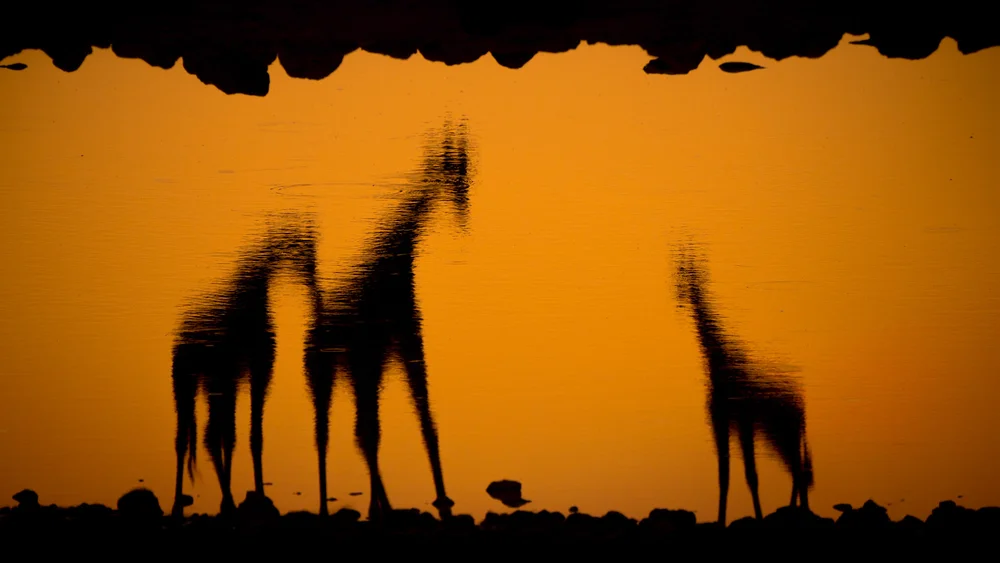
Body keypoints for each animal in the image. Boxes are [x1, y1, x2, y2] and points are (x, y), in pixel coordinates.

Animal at [170, 212, 321, 518]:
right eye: (307, 255)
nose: (315, 291)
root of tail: (184, 340)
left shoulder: (244, 376)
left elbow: (242, 435)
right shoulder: (249, 373)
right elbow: (242, 435)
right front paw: (249, 497)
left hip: (200, 384)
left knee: (200, 436)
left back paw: (201, 500)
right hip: (195, 382)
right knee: (196, 436)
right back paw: (199, 502)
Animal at [304, 119, 472, 520]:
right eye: (458, 172)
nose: (464, 208)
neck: (398, 253)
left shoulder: (382, 356)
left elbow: (381, 430)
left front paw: (383, 504)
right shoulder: (405, 339)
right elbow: (418, 423)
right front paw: (439, 500)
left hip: (338, 372)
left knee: (342, 432)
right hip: (334, 371)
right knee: (336, 432)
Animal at [673, 243, 813, 525]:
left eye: (686, 277)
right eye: (679, 275)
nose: (679, 299)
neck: (717, 363)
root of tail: (801, 406)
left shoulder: (738, 421)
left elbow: (749, 476)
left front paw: (752, 518)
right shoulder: (725, 422)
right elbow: (725, 477)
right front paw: (723, 520)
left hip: (784, 431)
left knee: (798, 470)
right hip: (781, 434)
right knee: (797, 471)